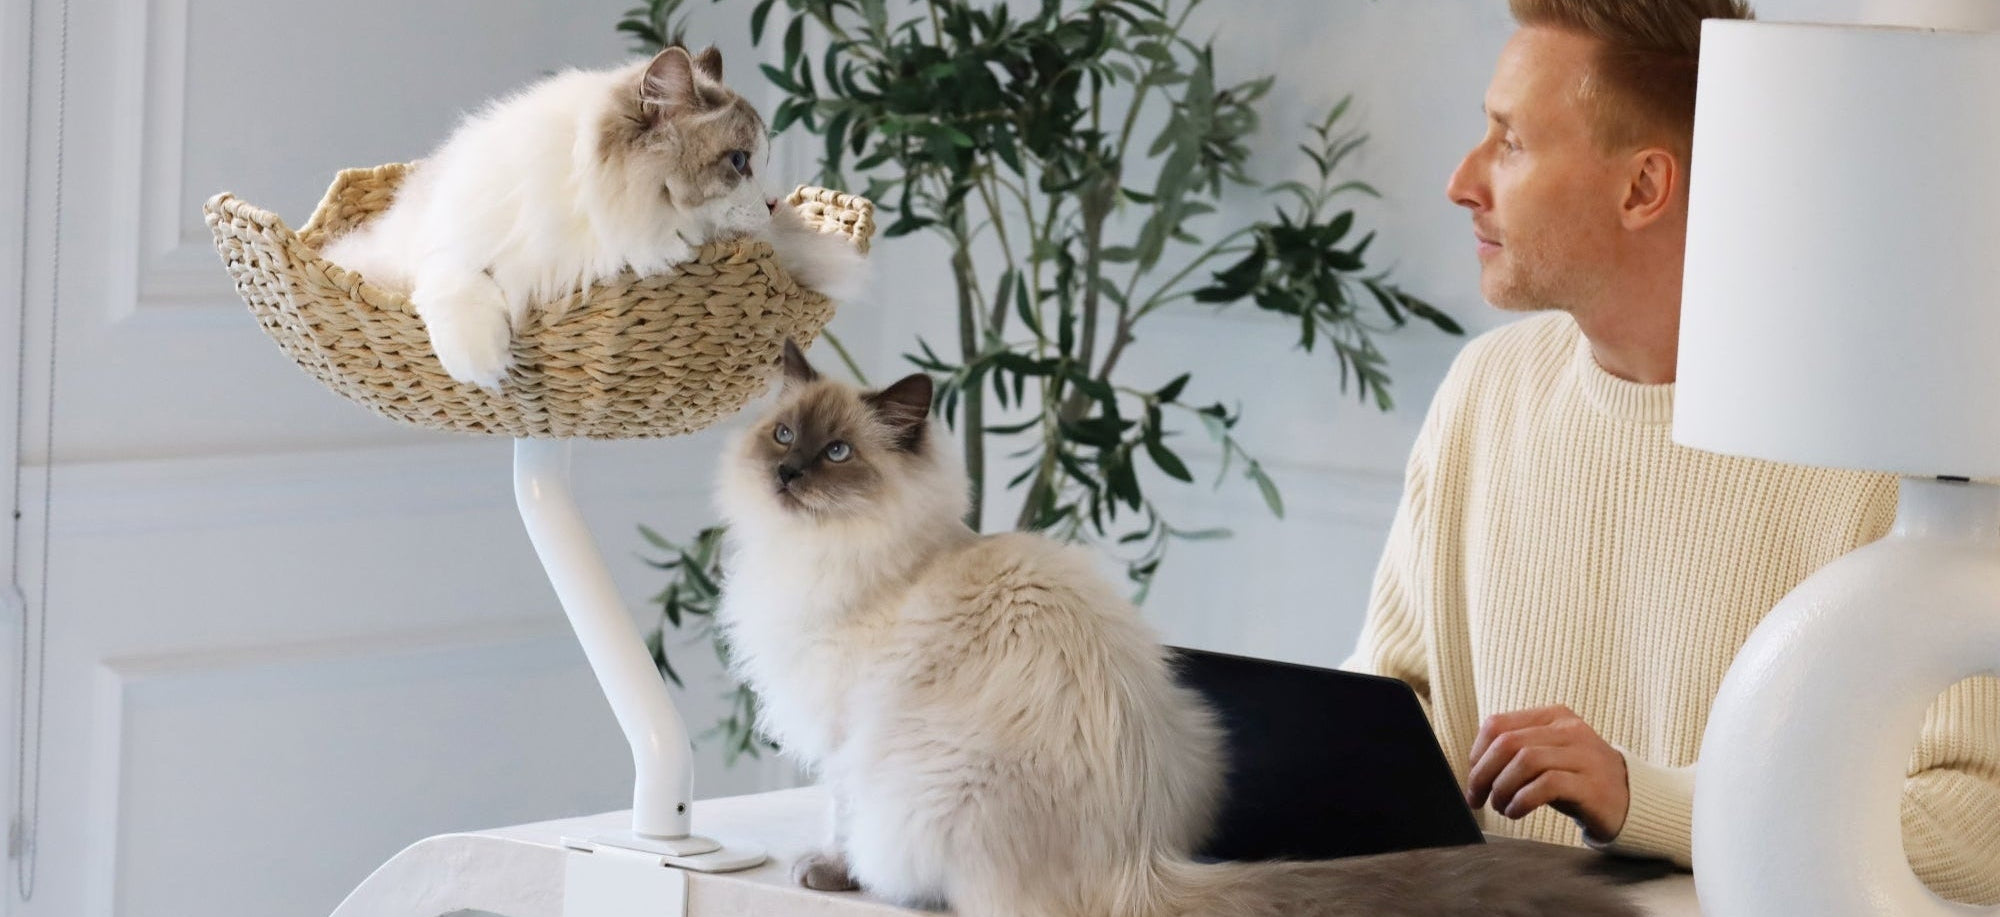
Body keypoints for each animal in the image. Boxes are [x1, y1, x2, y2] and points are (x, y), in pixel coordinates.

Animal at [324, 46, 864, 390]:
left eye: (763, 159)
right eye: (738, 162)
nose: (774, 204)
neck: (587, 203)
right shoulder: (447, 247)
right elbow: (453, 279)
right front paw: (482, 364)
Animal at [712, 342, 1648, 917]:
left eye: (838, 455)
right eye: (783, 434)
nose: (788, 475)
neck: (843, 553)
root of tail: (1137, 863)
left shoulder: (842, 734)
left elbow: (836, 815)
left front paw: (822, 871)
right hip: (1199, 728)